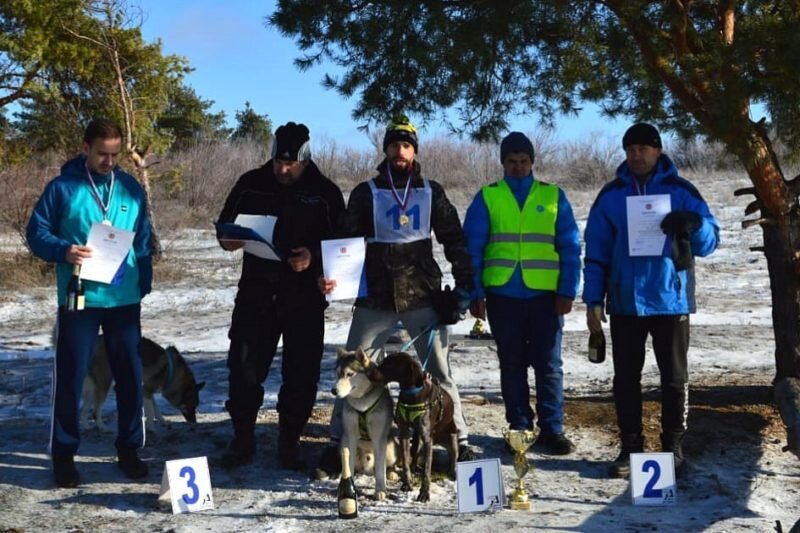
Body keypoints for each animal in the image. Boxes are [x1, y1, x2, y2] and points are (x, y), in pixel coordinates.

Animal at [330, 348, 396, 500]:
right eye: (337, 374)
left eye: (349, 374)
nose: (334, 391)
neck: (362, 404)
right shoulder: (350, 437)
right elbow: (349, 465)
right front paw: (346, 486)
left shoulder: (379, 439)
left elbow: (380, 469)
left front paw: (380, 491)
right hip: (343, 442)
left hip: (390, 449)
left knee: (386, 466)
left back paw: (391, 473)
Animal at [368, 352, 456, 500]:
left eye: (389, 364)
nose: (369, 373)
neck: (412, 394)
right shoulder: (403, 433)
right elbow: (405, 463)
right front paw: (406, 484)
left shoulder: (427, 439)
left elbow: (426, 471)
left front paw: (424, 493)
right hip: (417, 439)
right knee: (414, 454)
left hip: (451, 437)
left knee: (454, 456)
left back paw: (453, 472)